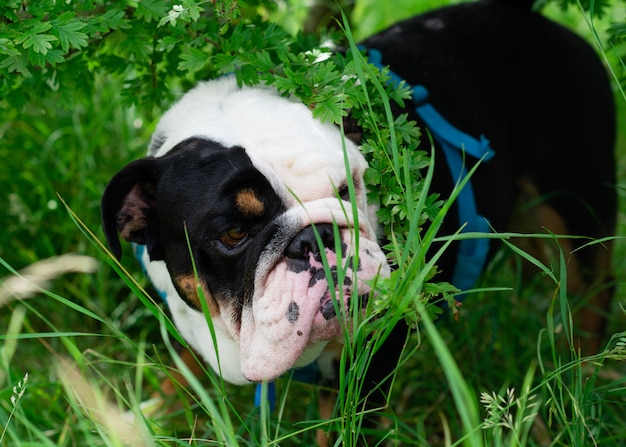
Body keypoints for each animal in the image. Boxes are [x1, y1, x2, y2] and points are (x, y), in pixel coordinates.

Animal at [101, 0, 616, 440]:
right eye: (233, 233)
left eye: (349, 189)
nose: (317, 238)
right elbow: (180, 366)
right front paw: (142, 415)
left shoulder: (369, 362)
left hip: (578, 202)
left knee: (592, 287)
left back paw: (588, 377)